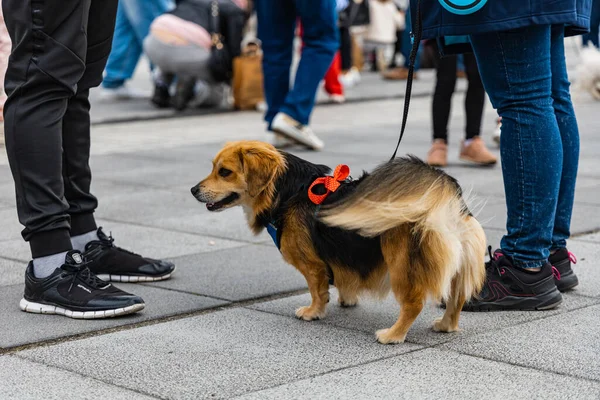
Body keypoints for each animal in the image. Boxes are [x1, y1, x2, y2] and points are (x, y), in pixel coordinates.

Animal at [192, 141, 488, 344]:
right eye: (214, 168)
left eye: (225, 172)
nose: (193, 190)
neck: (288, 191)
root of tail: (444, 197)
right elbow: (345, 279)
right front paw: (347, 300)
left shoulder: (313, 265)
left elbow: (317, 291)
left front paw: (313, 312)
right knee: (457, 298)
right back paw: (446, 325)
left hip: (401, 265)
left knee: (413, 303)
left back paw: (392, 335)